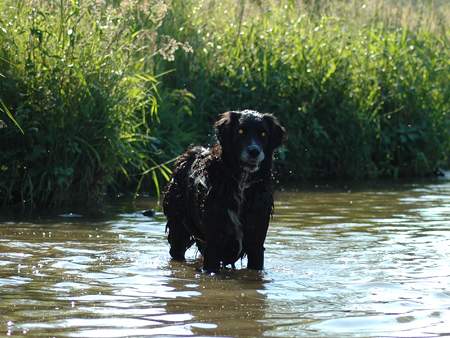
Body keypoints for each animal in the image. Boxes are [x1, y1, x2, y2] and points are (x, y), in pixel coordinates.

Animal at [163, 109, 286, 274]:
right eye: (240, 131)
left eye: (263, 134)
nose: (254, 151)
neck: (241, 183)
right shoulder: (214, 242)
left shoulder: (256, 244)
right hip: (178, 228)